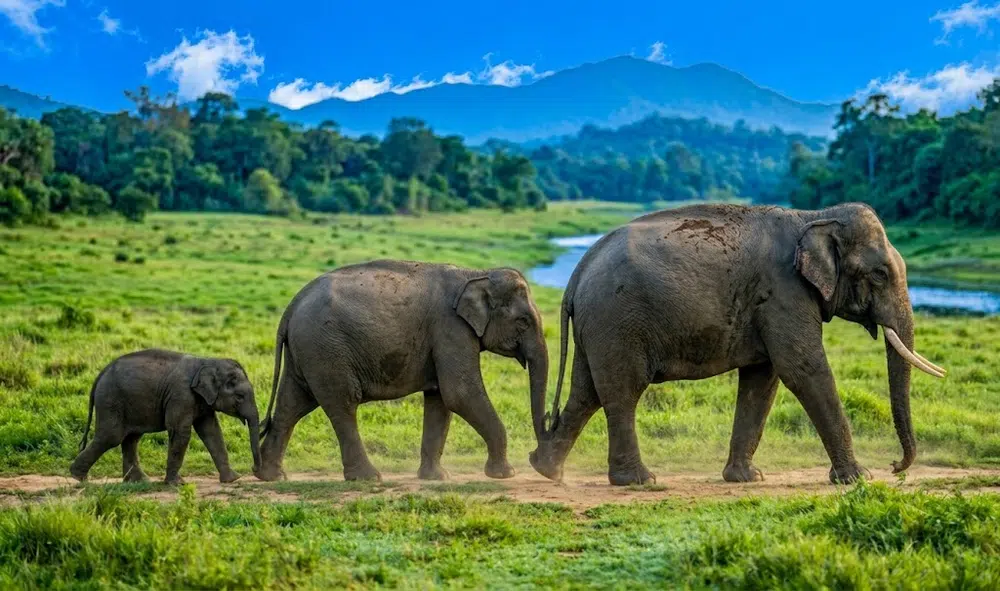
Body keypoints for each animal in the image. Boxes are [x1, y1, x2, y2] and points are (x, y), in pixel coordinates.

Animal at [70, 349, 261, 485]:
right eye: (239, 397)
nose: (255, 470)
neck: (206, 361)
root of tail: (100, 374)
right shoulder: (181, 395)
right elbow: (181, 432)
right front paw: (177, 484)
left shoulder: (203, 400)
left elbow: (211, 431)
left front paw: (233, 479)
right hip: (111, 400)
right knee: (111, 437)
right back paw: (79, 477)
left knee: (131, 439)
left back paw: (138, 481)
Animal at [255, 260, 549, 483]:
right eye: (523, 321)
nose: (536, 458)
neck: (477, 273)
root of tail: (292, 306)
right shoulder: (450, 328)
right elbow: (459, 393)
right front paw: (505, 475)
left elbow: (440, 400)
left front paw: (436, 478)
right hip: (326, 349)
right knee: (342, 404)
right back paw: (368, 478)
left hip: (307, 351)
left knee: (292, 404)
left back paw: (271, 476)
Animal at [529, 202, 947, 486]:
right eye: (880, 274)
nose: (894, 466)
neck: (813, 216)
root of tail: (577, 272)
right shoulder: (783, 293)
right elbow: (803, 368)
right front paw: (858, 479)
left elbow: (762, 380)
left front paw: (748, 478)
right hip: (618, 322)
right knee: (621, 392)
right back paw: (638, 481)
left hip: (598, 327)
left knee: (587, 392)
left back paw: (546, 468)